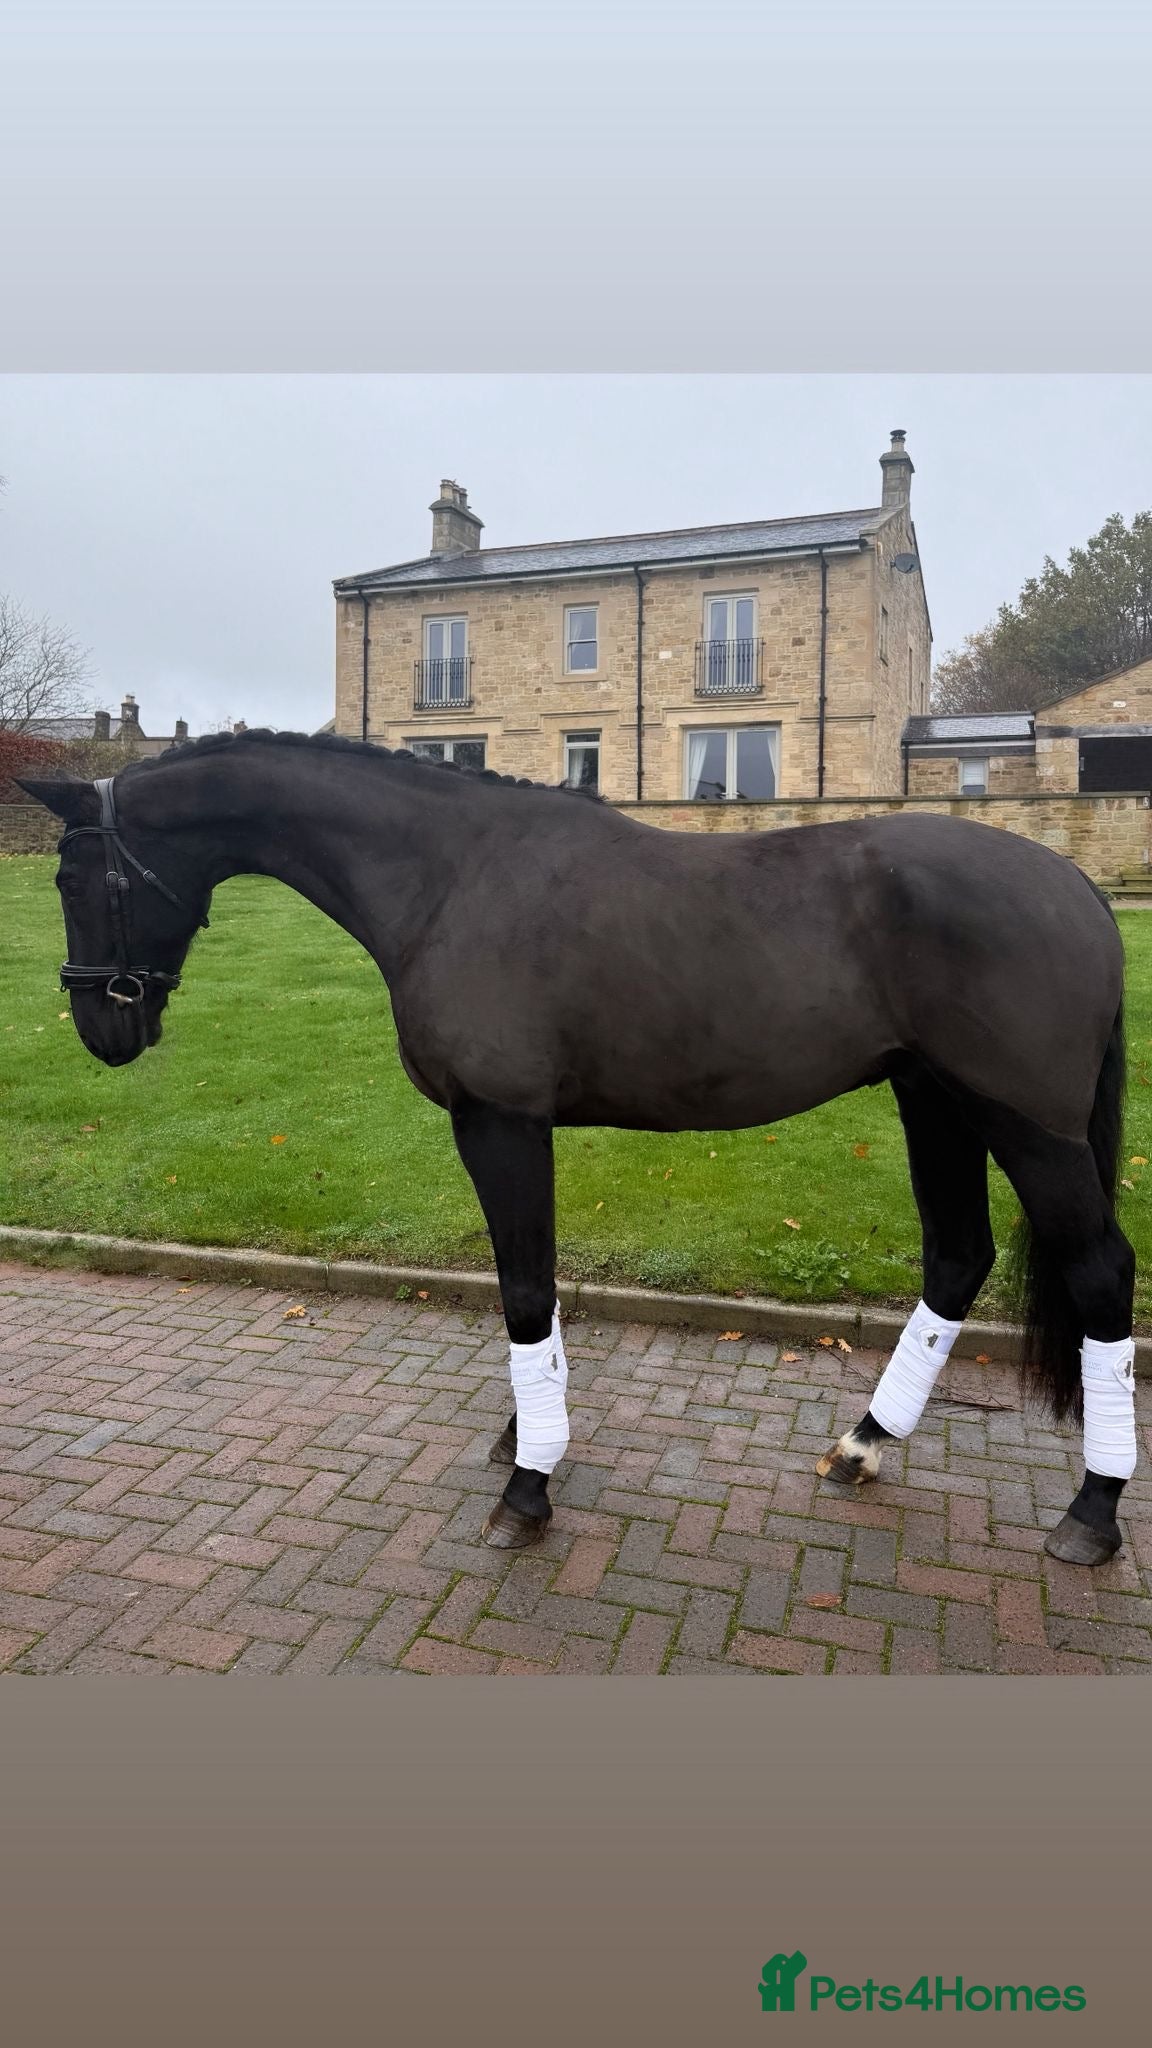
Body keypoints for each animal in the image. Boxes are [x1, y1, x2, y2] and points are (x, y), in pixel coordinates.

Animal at [18, 728, 1139, 1565]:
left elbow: (522, 1289)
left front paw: (529, 1482)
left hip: (1025, 1125)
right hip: (934, 1100)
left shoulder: (498, 1120)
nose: (102, 1028)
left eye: (78, 876)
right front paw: (527, 1434)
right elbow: (538, 1289)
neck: (451, 876)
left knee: (1099, 1271)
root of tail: (1074, 884)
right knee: (958, 1256)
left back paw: (1091, 1512)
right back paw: (865, 1445)